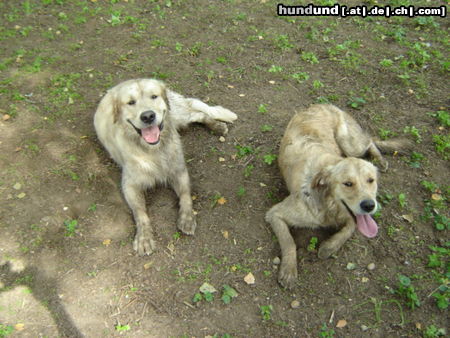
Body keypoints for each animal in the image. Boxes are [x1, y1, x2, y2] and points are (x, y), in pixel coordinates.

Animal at [93, 78, 237, 254]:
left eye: (154, 96)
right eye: (131, 102)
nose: (148, 116)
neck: (154, 150)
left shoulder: (179, 171)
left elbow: (185, 195)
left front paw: (187, 218)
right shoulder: (130, 185)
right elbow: (140, 212)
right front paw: (144, 237)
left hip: (177, 116)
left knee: (198, 112)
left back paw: (217, 126)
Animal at [266, 103, 410, 288]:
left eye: (371, 180)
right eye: (347, 183)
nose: (369, 206)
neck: (328, 205)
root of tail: (320, 104)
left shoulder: (349, 218)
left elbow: (350, 228)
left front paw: (328, 247)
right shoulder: (275, 213)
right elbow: (288, 241)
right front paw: (289, 270)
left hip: (349, 144)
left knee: (369, 141)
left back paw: (380, 160)